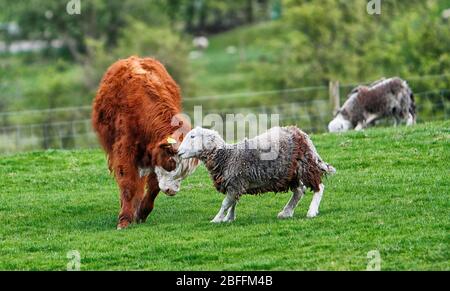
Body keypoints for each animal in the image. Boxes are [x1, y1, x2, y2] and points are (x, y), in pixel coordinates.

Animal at [176, 126, 334, 224]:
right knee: (299, 191)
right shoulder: (236, 183)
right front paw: (229, 218)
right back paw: (287, 212)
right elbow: (233, 202)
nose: (178, 152)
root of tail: (300, 132)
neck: (227, 157)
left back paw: (311, 211)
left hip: (305, 165)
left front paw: (217, 219)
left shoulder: (236, 181)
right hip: (288, 173)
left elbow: (226, 203)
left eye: (192, 136)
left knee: (319, 187)